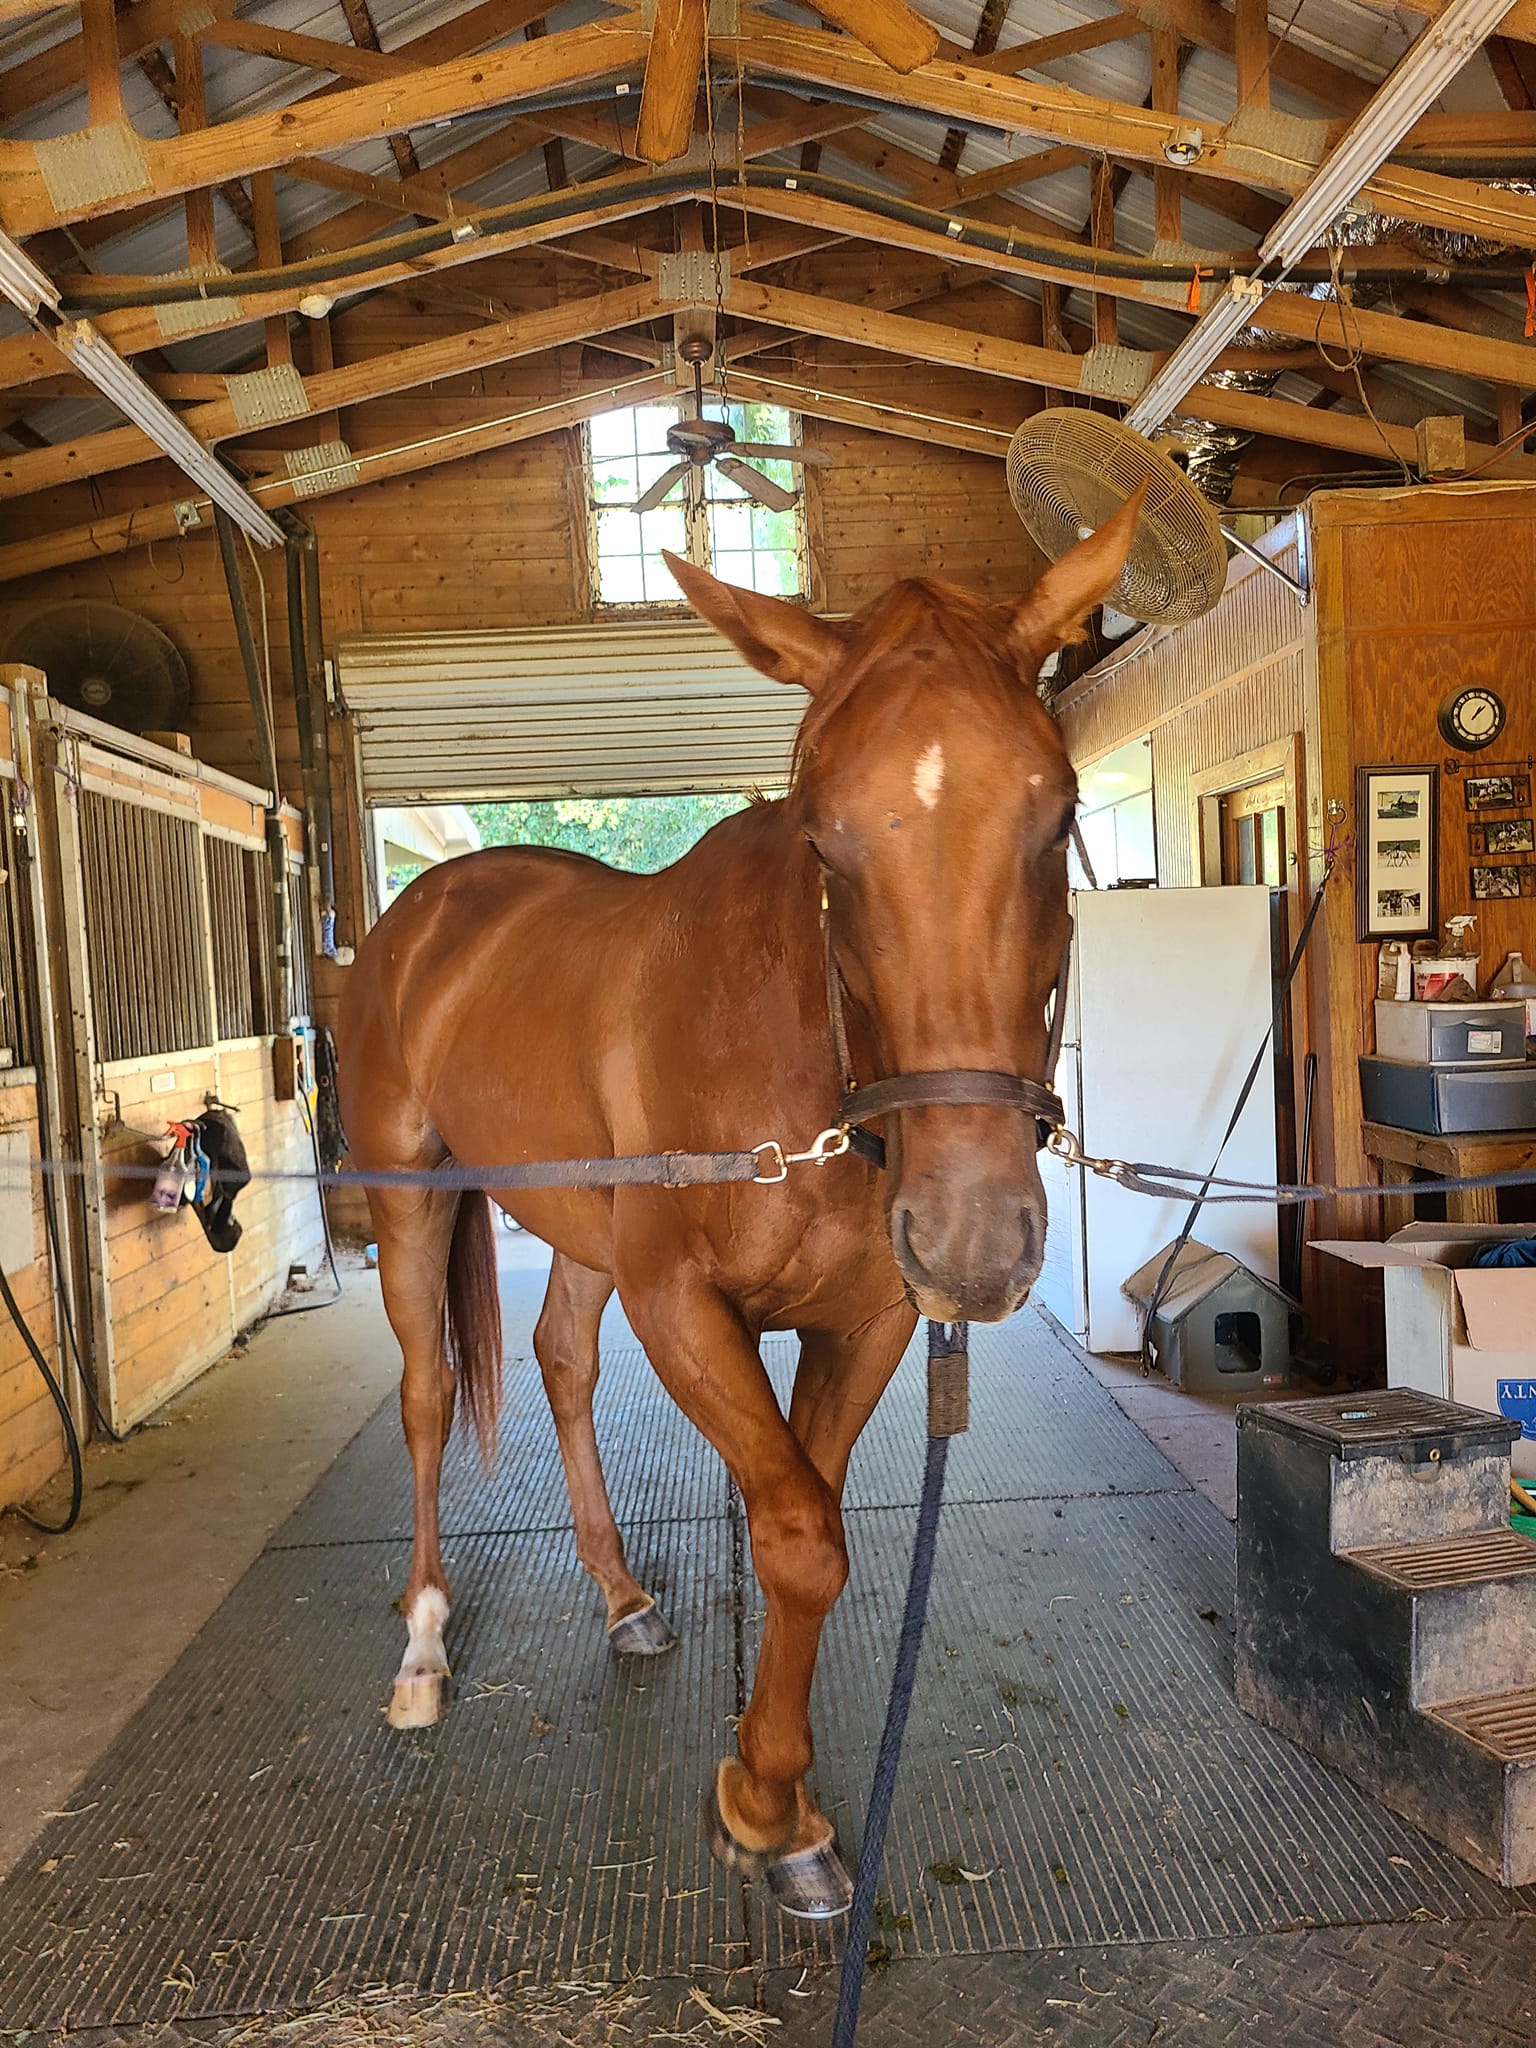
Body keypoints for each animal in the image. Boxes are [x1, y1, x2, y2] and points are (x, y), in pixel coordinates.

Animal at [336, 498, 1140, 1919]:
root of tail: (426, 909)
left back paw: (619, 1595)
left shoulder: (865, 1320)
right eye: (824, 839)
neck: (789, 1045)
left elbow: (805, 1526)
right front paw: (765, 1809)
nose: (973, 1239)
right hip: (409, 1203)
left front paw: (780, 1800)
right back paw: (424, 1646)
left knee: (560, 1360)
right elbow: (798, 1533)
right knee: (431, 1397)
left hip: (585, 1228)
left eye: (1059, 817)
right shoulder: (684, 1307)